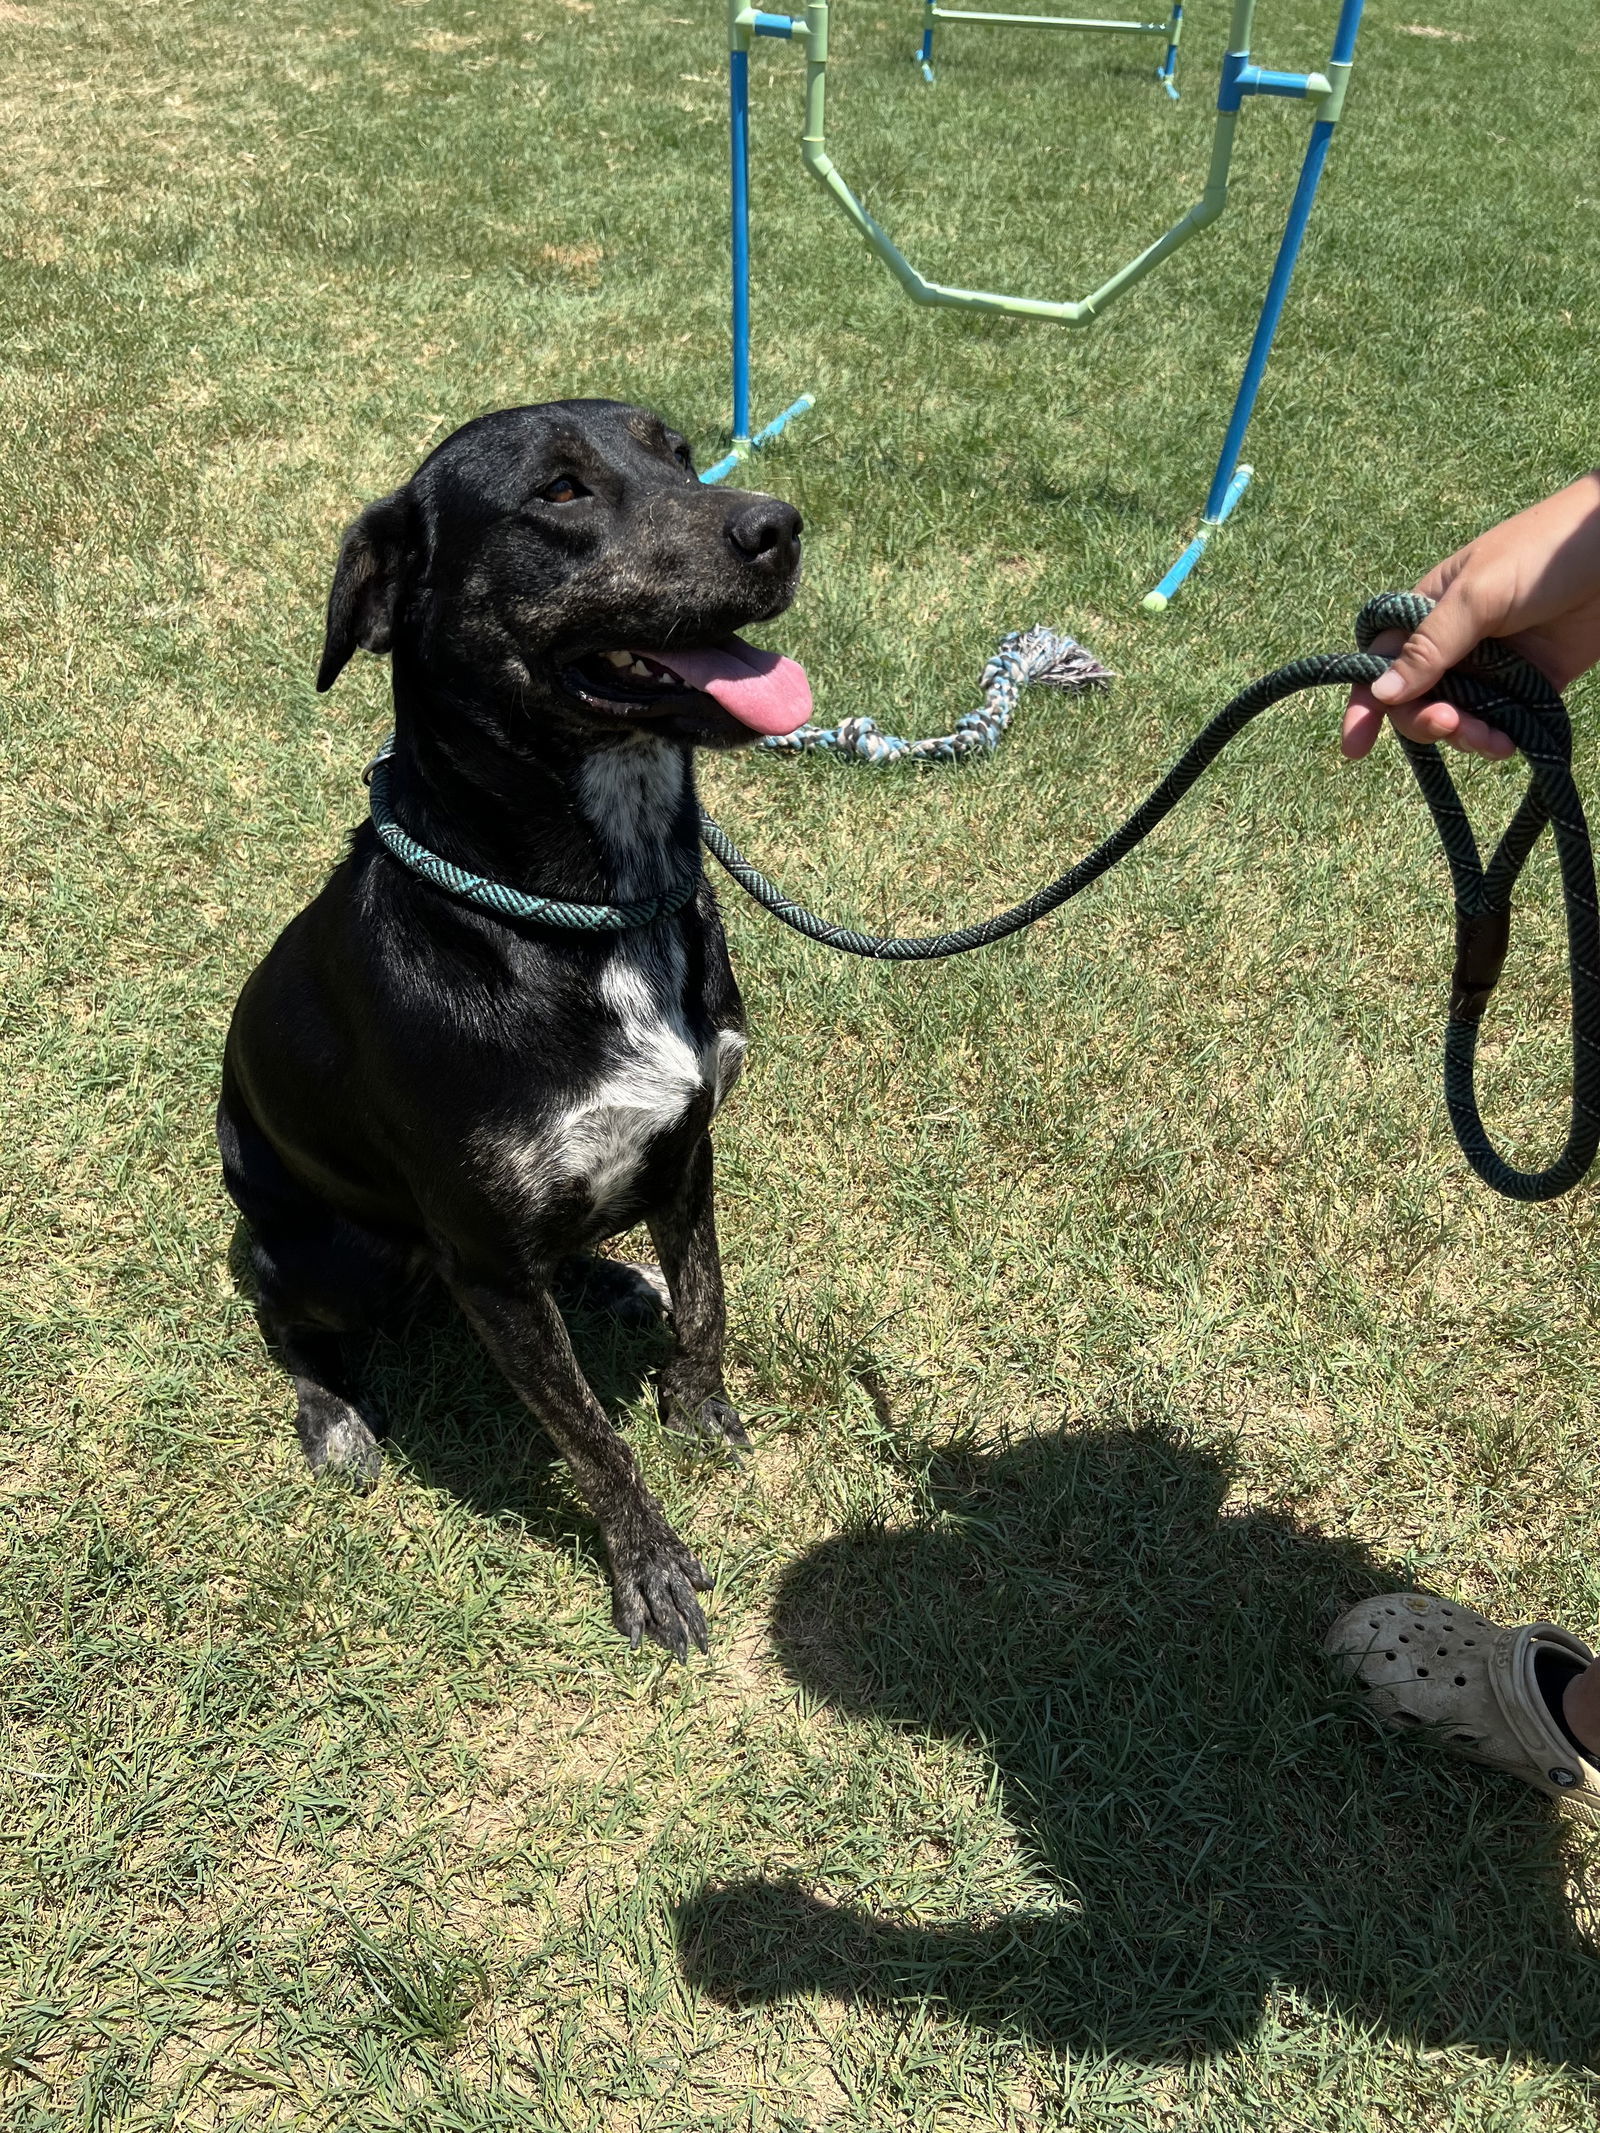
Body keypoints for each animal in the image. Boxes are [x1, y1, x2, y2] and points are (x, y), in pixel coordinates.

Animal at [219, 403, 806, 1663]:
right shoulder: (483, 1257)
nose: (779, 526)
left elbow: (706, 1300)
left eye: (680, 454)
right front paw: (649, 1567)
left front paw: (702, 1413)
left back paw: (608, 1276)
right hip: (342, 1248)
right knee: (279, 1306)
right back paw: (332, 1413)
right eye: (561, 493)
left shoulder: (690, 1142)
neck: (587, 907)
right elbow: (589, 1434)